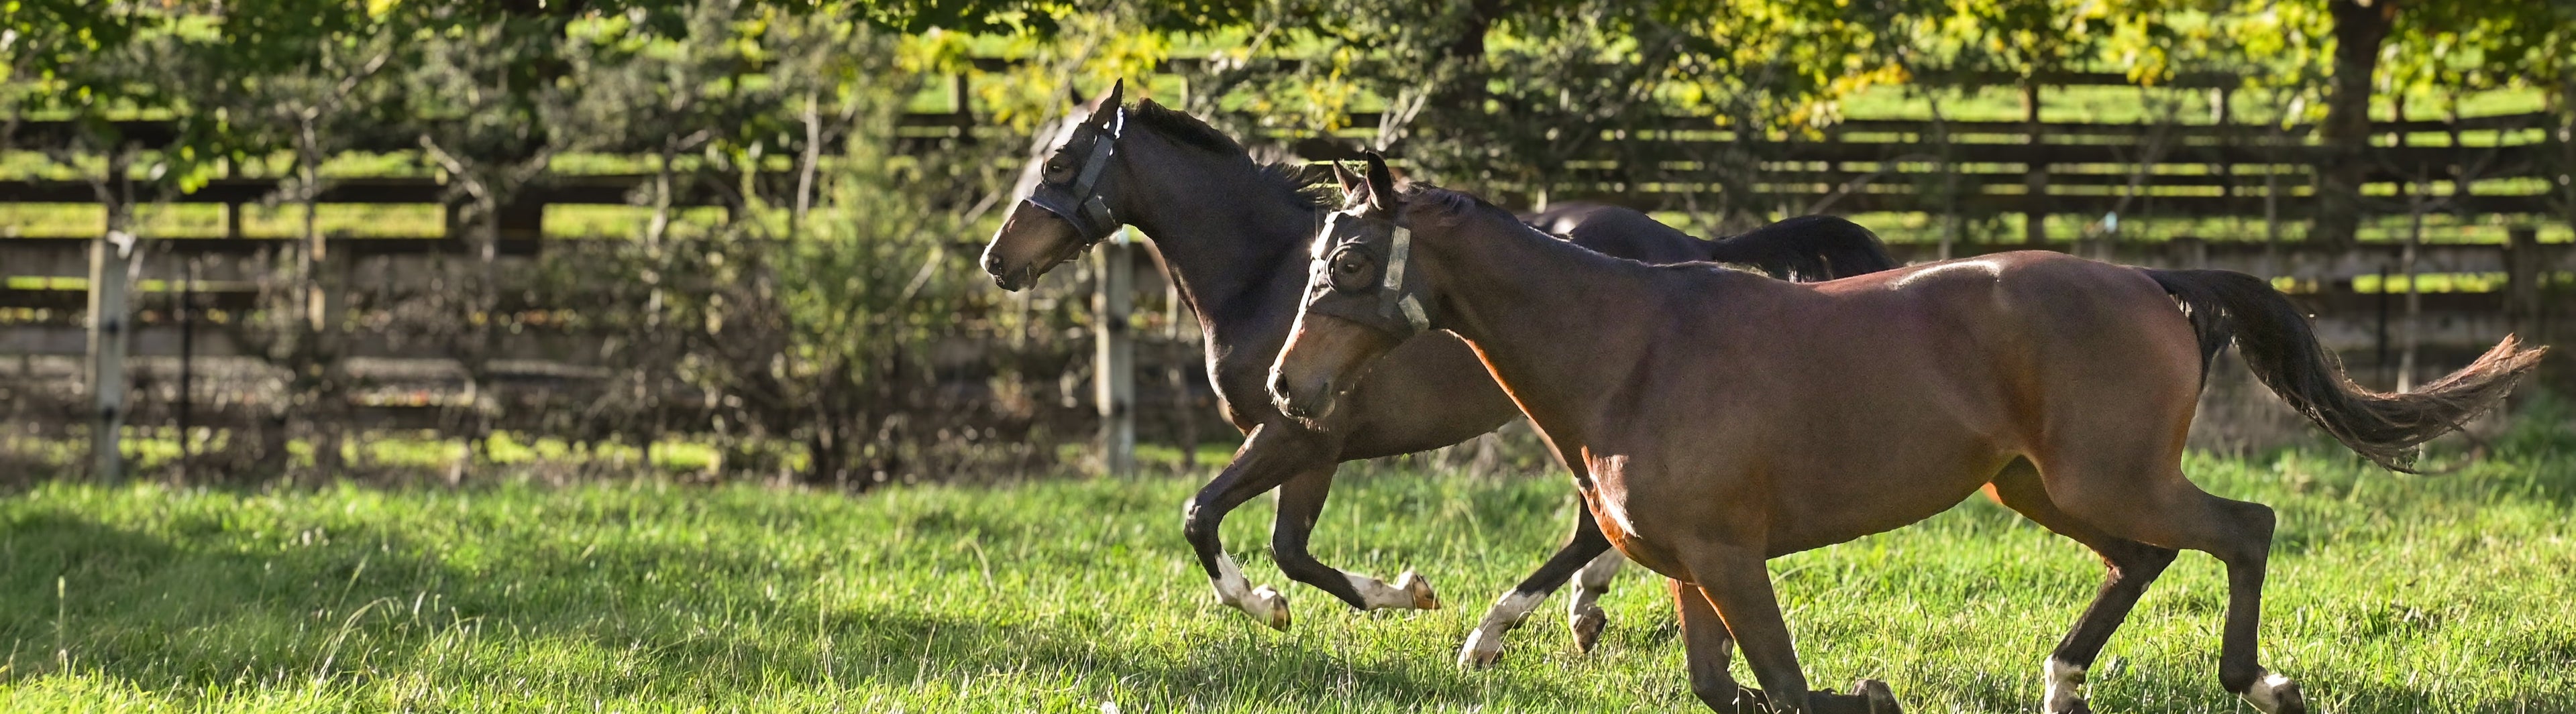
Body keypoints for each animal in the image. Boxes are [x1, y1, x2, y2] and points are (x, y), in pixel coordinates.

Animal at [977, 80, 1899, 666]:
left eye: (1058, 166)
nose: (996, 261)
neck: (1265, 273)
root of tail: (1679, 245)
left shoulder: (1300, 435)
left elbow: (1216, 522)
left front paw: (1370, 598)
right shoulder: (1302, 443)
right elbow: (1284, 547)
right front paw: (1347, 598)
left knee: (1592, 527)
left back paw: (1509, 627)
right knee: (1596, 530)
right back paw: (1578, 610)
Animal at [1267, 154, 2545, 714]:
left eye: (1350, 263)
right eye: (1316, 257)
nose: (1284, 386)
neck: (1630, 349)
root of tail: (2152, 278)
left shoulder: (1732, 557)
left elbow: (1787, 687)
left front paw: (1871, 692)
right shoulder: (1687, 564)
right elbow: (1722, 686)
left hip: (2108, 476)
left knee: (2244, 527)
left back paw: (2257, 680)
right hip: (2034, 487)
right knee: (2149, 558)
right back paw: (2064, 680)